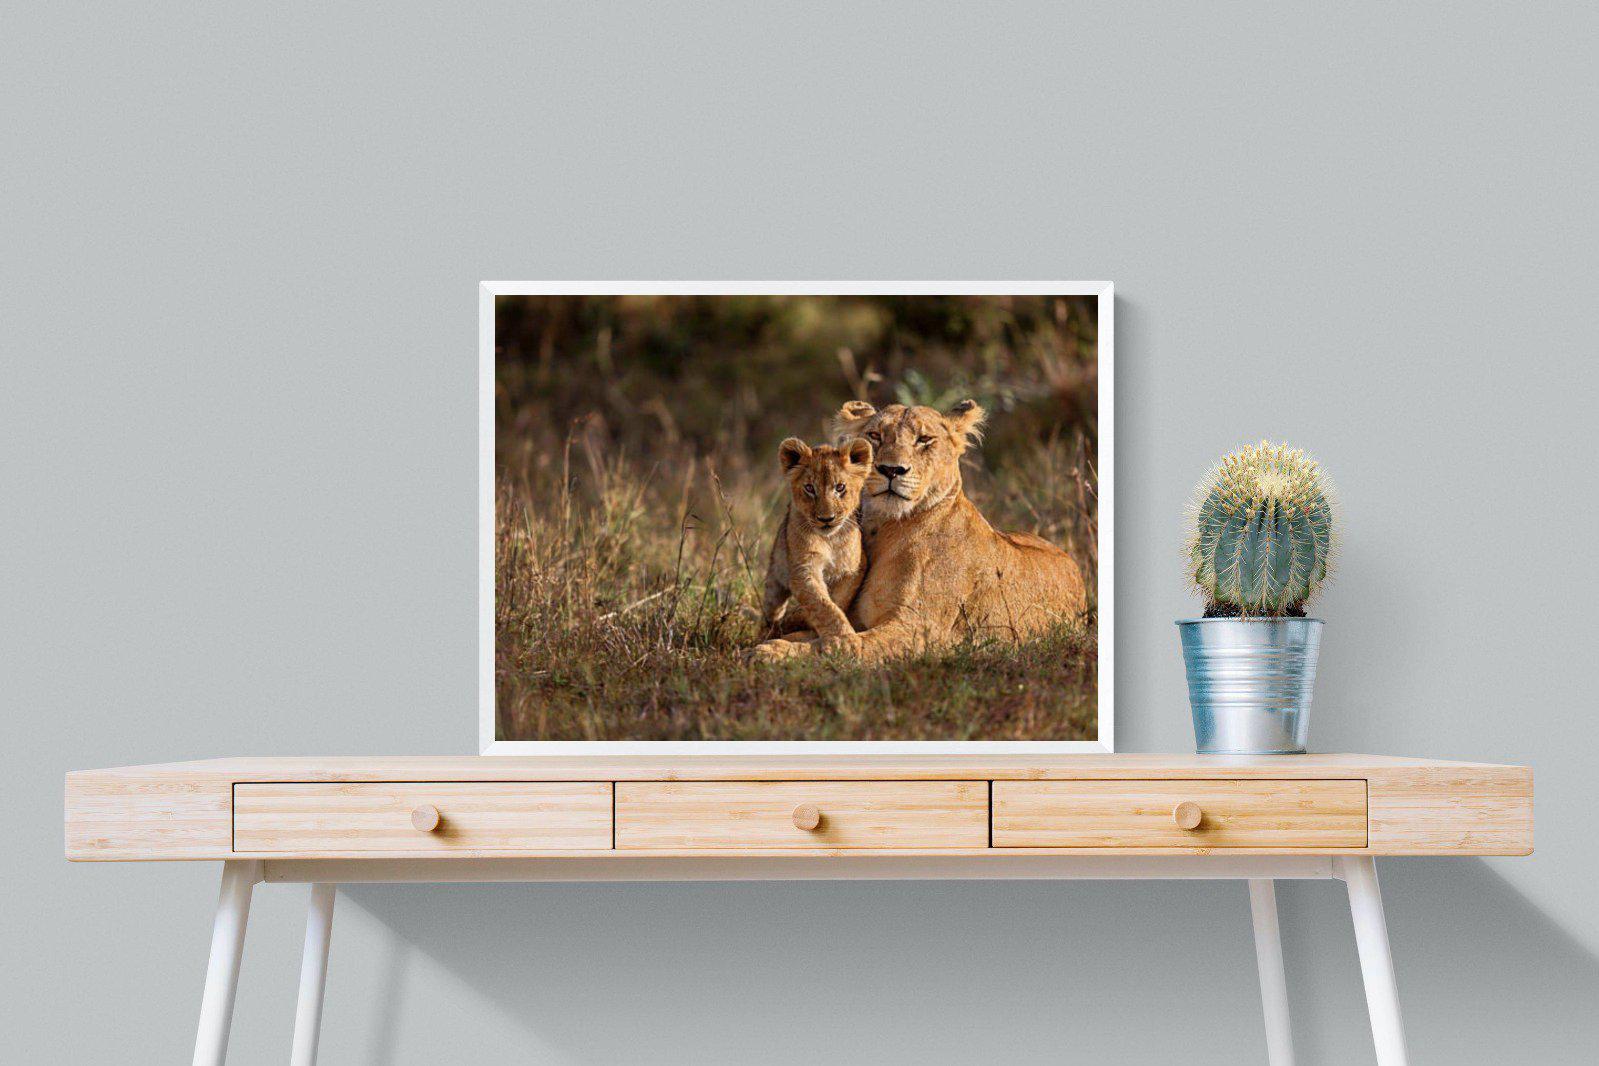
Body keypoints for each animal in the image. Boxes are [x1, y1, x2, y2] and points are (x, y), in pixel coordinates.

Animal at [761, 437, 874, 641]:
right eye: (809, 488)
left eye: (840, 487)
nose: (826, 519)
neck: (830, 540)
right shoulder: (804, 569)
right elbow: (822, 605)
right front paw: (844, 639)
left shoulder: (854, 568)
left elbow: (837, 600)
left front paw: (804, 620)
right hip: (775, 578)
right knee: (771, 612)